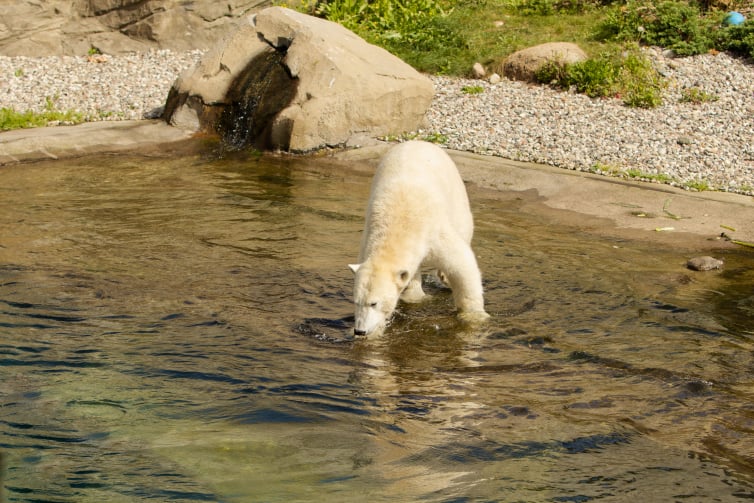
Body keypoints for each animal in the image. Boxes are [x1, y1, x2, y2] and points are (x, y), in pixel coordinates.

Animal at [349, 140, 490, 336]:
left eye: (374, 303)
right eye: (356, 301)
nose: (359, 331)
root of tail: (419, 141)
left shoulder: (434, 231)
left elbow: (461, 263)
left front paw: (474, 316)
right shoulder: (368, 239)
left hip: (456, 195)